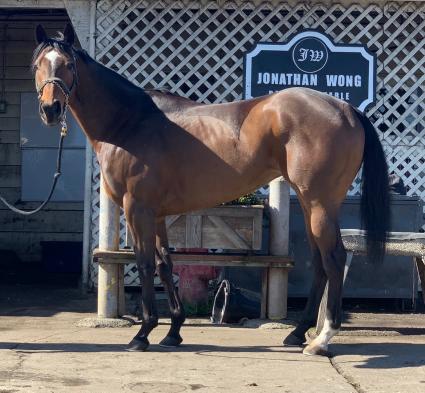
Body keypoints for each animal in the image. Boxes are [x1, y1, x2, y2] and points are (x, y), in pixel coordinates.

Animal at [34, 24, 390, 356]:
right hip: (309, 202)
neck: (129, 123)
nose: (51, 110)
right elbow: (165, 264)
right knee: (319, 262)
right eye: (38, 64)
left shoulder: (137, 208)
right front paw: (173, 331)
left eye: (68, 64)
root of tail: (346, 109)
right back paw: (297, 332)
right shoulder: (157, 214)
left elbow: (146, 263)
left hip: (319, 203)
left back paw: (322, 339)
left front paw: (143, 334)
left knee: (334, 258)